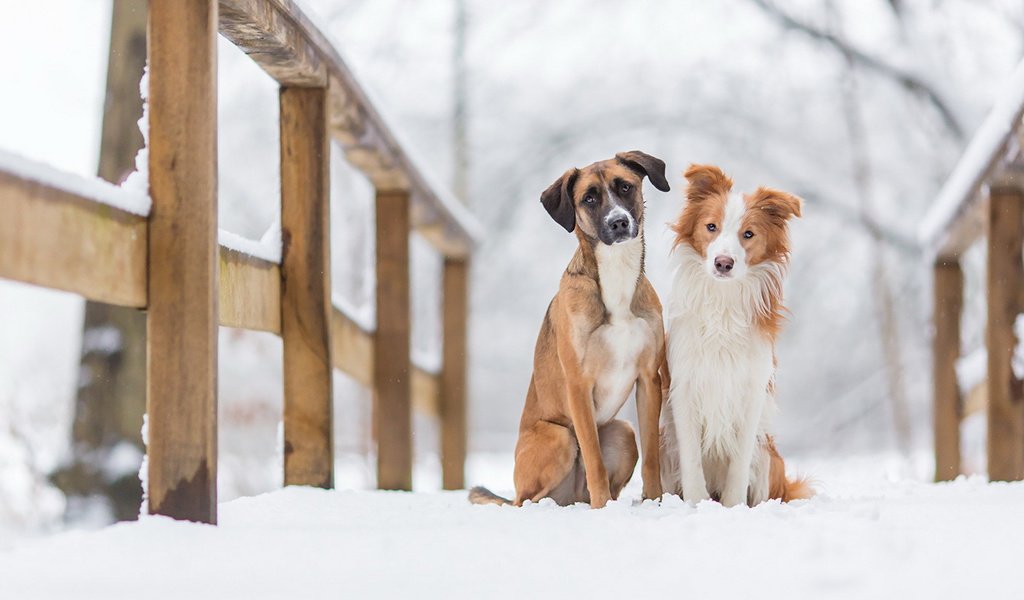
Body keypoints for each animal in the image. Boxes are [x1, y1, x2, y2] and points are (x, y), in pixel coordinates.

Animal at [468, 149, 671, 503]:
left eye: (625, 187)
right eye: (589, 198)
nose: (618, 222)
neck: (616, 275)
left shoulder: (648, 379)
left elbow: (651, 460)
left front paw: (655, 503)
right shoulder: (578, 384)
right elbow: (593, 459)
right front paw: (603, 508)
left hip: (622, 431)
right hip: (559, 437)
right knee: (526, 501)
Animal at [659, 162, 811, 503]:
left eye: (748, 234)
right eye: (711, 227)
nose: (723, 263)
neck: (722, 301)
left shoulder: (751, 390)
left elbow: (739, 462)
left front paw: (732, 506)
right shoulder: (684, 387)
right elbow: (691, 458)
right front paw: (697, 503)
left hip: (769, 456)